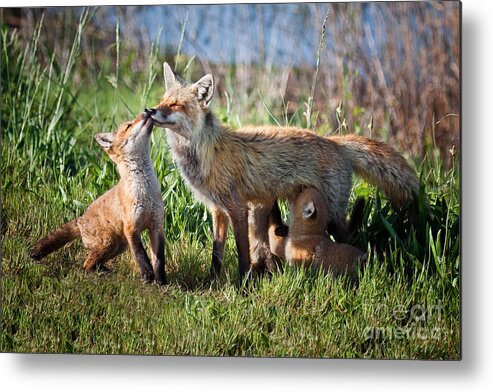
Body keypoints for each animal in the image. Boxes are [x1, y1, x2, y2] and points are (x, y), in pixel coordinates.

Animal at [29, 110, 166, 284]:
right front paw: (147, 276)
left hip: (118, 246)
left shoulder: (156, 225)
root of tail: (81, 219)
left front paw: (161, 282)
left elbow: (159, 259)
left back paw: (105, 271)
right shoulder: (131, 228)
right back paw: (97, 275)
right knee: (85, 266)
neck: (145, 190)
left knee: (95, 263)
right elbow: (141, 256)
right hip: (108, 243)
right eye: (129, 125)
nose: (147, 111)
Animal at [151, 62, 418, 282]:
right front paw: (214, 282)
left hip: (333, 215)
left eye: (175, 105)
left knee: (349, 238)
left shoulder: (237, 208)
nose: (150, 111)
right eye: (163, 99)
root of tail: (335, 141)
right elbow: (217, 255)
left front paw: (243, 285)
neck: (206, 154)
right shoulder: (218, 210)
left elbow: (242, 254)